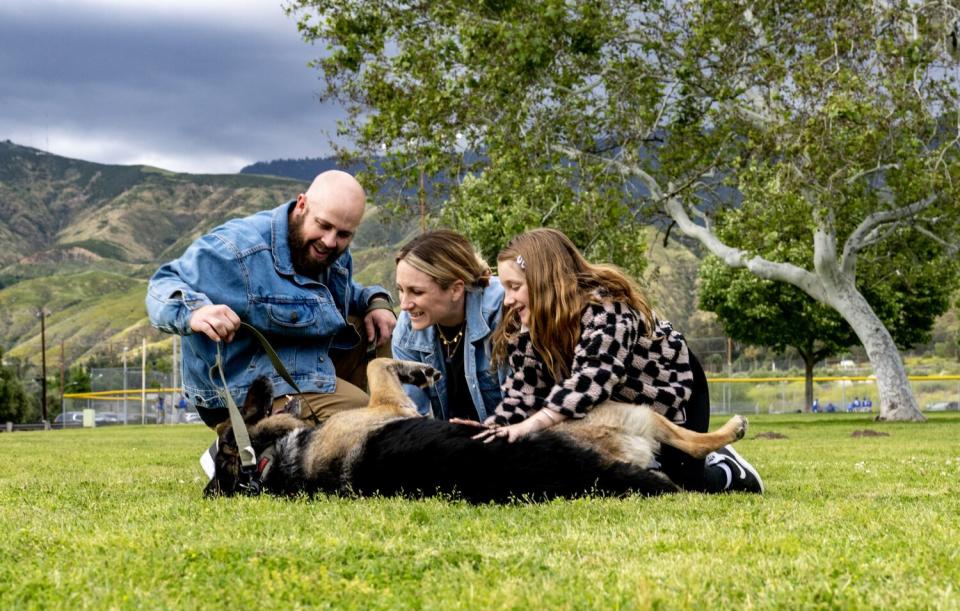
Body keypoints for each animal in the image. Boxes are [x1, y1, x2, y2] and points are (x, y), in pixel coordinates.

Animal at [204, 358, 752, 502]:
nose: (258, 379)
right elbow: (379, 364)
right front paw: (418, 370)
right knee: (691, 441)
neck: (273, 460)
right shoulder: (386, 401)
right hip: (617, 412)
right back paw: (731, 429)